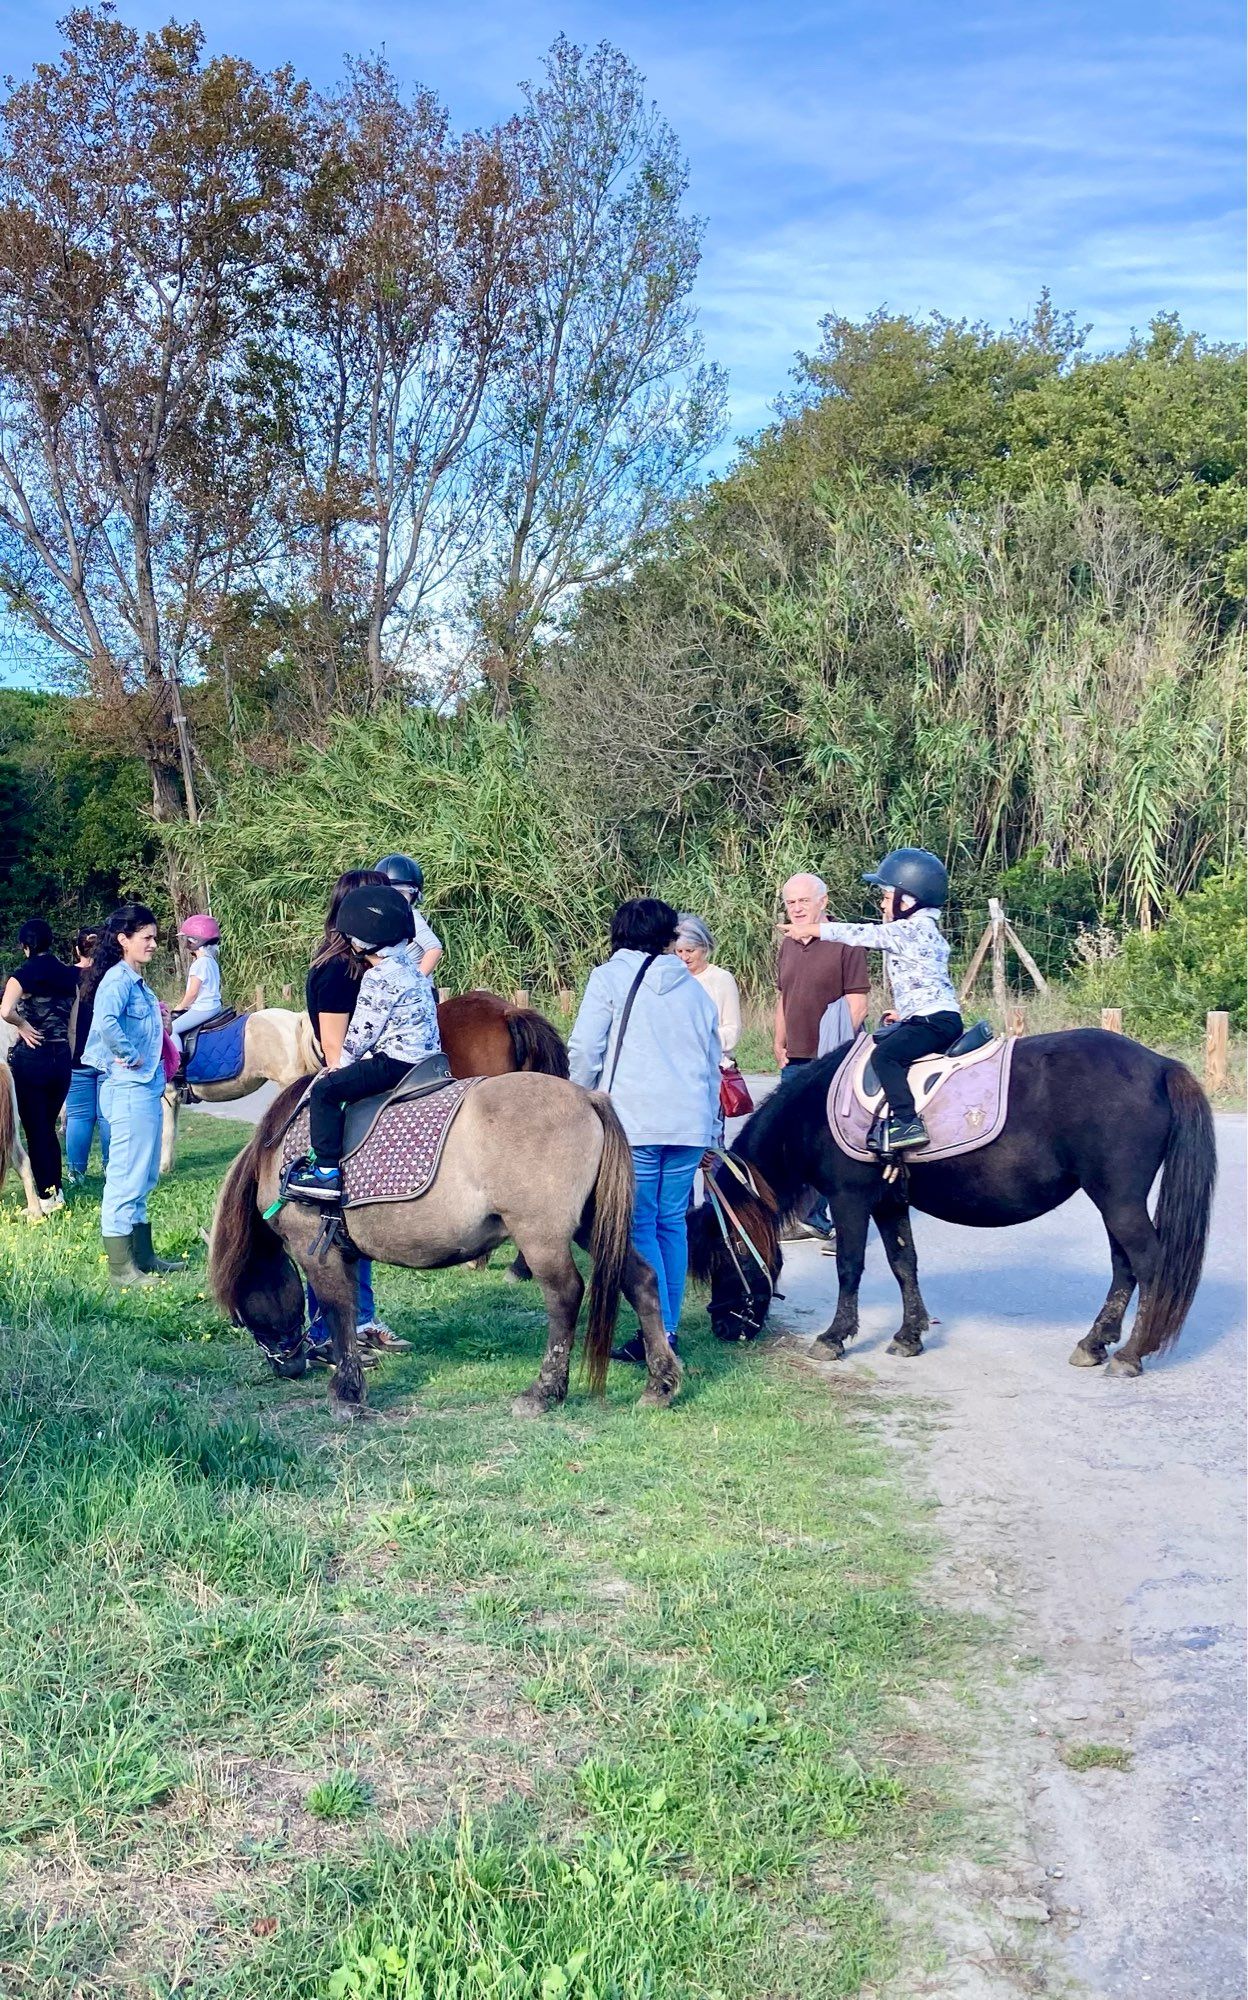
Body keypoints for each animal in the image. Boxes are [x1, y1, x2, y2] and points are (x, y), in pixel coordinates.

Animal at [214, 1080, 684, 1424]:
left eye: (240, 1311)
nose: (285, 1365)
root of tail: (587, 1096)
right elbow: (346, 1312)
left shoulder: (319, 1254)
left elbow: (336, 1312)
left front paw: (346, 1394)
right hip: (594, 1228)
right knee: (642, 1281)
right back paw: (659, 1384)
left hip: (541, 1239)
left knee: (565, 1296)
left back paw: (544, 1392)